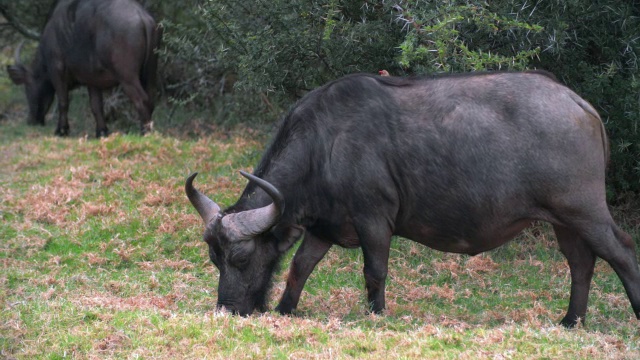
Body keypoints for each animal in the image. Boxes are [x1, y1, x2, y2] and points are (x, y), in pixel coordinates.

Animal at [6, 0, 161, 138]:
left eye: (27, 88)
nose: (31, 120)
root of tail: (141, 15)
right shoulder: (93, 81)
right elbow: (96, 106)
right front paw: (101, 132)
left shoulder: (57, 71)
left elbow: (63, 102)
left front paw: (61, 130)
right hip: (150, 74)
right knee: (151, 99)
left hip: (127, 77)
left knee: (142, 99)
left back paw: (144, 132)